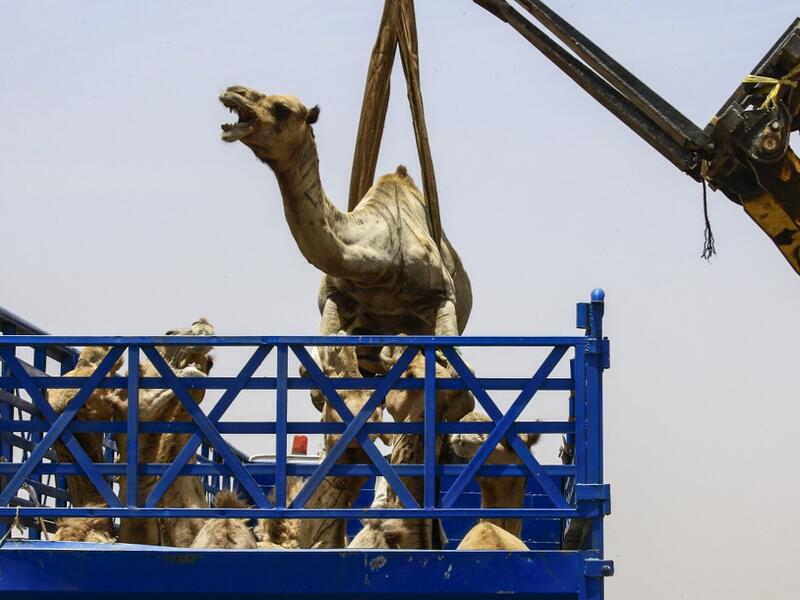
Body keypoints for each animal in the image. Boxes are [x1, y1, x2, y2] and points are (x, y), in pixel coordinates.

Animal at [219, 86, 472, 373]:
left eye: (281, 108)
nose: (233, 91)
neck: (382, 261)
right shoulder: (335, 296)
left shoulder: (443, 296)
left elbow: (453, 365)